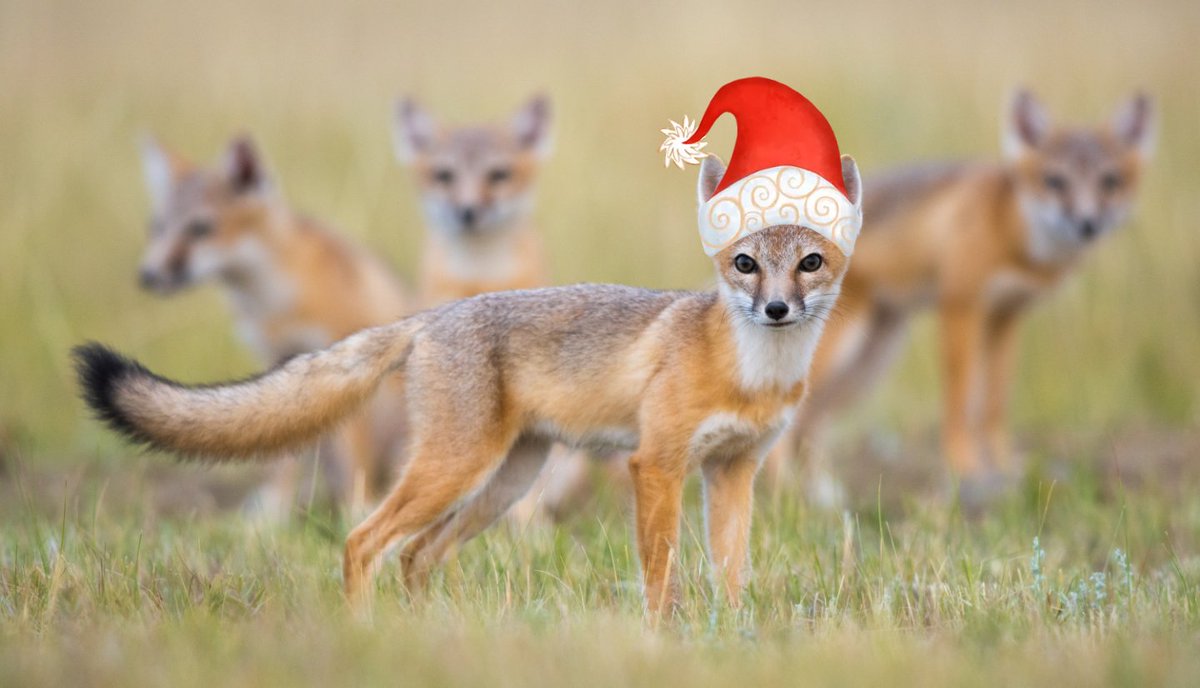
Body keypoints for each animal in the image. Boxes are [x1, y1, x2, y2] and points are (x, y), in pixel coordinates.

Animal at [136, 134, 413, 514]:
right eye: (158, 228)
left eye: (200, 229)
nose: (147, 276)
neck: (273, 299)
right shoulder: (279, 359)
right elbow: (282, 455)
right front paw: (274, 511)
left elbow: (355, 455)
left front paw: (357, 505)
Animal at [765, 90, 1155, 503]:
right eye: (1055, 181)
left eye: (1110, 181)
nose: (1087, 223)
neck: (1009, 230)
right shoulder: (959, 306)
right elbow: (959, 399)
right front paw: (965, 469)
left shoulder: (1005, 316)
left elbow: (994, 403)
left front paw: (1002, 466)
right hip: (843, 352)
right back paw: (786, 491)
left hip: (871, 359)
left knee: (811, 422)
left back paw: (820, 493)